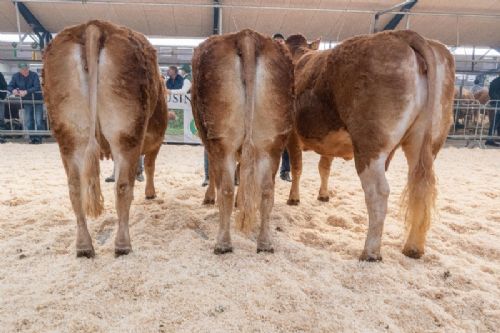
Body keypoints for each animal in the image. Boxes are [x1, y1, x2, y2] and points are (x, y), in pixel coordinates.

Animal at [43, 20, 168, 258]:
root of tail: (93, 26)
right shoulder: (155, 142)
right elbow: (149, 166)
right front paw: (150, 193)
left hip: (68, 135)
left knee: (75, 187)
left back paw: (84, 246)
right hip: (127, 132)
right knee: (123, 186)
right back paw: (122, 245)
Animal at [190, 29, 292, 253]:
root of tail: (247, 36)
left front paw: (209, 198)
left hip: (222, 140)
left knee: (227, 188)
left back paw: (223, 243)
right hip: (272, 142)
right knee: (266, 190)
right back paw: (265, 243)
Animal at [284, 30, 456, 260]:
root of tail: (404, 35)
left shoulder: (293, 135)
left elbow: (297, 167)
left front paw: (294, 198)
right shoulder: (326, 142)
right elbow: (324, 168)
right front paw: (323, 195)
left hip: (369, 144)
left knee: (379, 192)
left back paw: (370, 252)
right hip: (425, 142)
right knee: (420, 186)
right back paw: (413, 247)